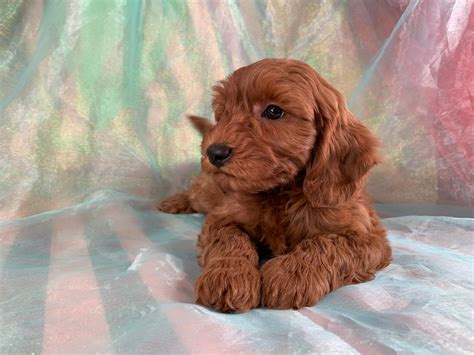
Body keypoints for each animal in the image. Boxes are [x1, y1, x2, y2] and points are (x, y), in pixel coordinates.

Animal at [159, 57, 392, 312]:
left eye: (273, 111)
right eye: (224, 113)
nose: (214, 152)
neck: (282, 192)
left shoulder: (368, 237)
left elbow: (326, 244)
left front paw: (291, 275)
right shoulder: (221, 218)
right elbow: (230, 238)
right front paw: (229, 275)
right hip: (208, 191)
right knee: (195, 192)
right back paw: (175, 201)